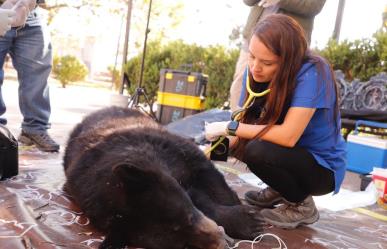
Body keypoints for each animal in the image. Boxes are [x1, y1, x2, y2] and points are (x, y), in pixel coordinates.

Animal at [63, 107, 264, 249]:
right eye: (181, 245)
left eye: (190, 217)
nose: (222, 242)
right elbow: (195, 194)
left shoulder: (174, 150)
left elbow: (207, 179)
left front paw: (245, 219)